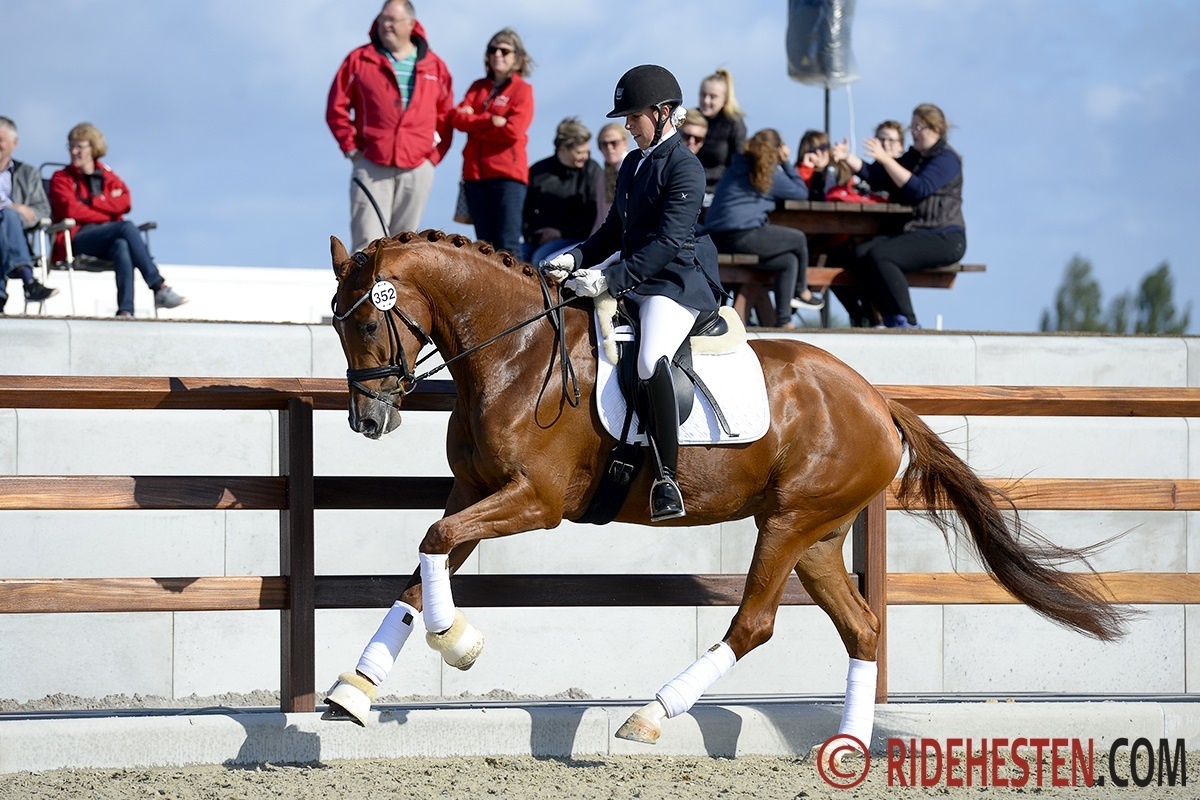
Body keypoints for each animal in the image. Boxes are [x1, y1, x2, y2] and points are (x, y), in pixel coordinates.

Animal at [324, 229, 1127, 748]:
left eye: (364, 322)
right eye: (336, 325)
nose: (367, 419)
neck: (515, 353)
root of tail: (877, 399)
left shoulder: (536, 501)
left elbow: (433, 544)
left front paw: (457, 642)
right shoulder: (474, 489)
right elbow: (422, 564)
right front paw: (355, 690)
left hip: (789, 524)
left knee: (755, 624)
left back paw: (652, 713)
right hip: (817, 539)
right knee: (861, 629)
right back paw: (849, 746)